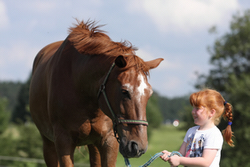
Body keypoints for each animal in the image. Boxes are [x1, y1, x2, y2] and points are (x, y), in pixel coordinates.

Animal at [29, 19, 163, 167]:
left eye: (149, 93)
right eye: (124, 91)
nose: (138, 146)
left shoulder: (109, 141)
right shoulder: (63, 142)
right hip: (48, 143)